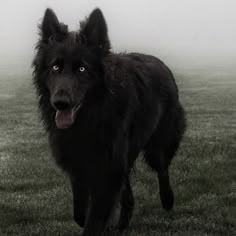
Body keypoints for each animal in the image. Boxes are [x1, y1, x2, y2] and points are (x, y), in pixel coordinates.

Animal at [32, 7, 186, 236]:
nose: (60, 103)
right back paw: (122, 224)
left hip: (158, 144)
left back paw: (167, 200)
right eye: (55, 68)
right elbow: (80, 213)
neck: (93, 116)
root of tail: (161, 63)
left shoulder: (108, 169)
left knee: (162, 168)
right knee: (128, 195)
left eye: (82, 69)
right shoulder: (79, 166)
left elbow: (93, 221)